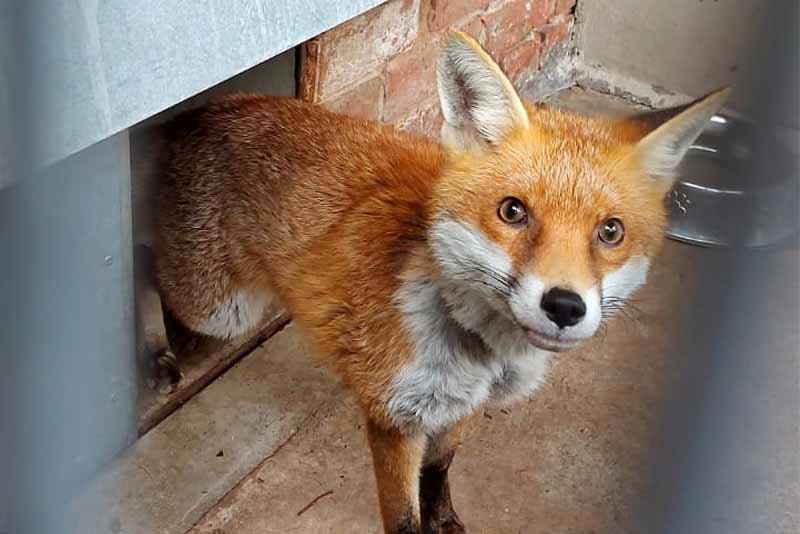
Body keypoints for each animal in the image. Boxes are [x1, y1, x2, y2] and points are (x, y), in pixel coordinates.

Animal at [135, 30, 729, 534]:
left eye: (610, 232)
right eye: (512, 212)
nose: (564, 306)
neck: (479, 350)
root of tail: (205, 110)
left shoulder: (460, 406)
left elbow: (440, 470)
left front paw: (443, 518)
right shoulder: (393, 416)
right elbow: (403, 515)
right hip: (220, 310)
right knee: (143, 265)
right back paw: (153, 353)